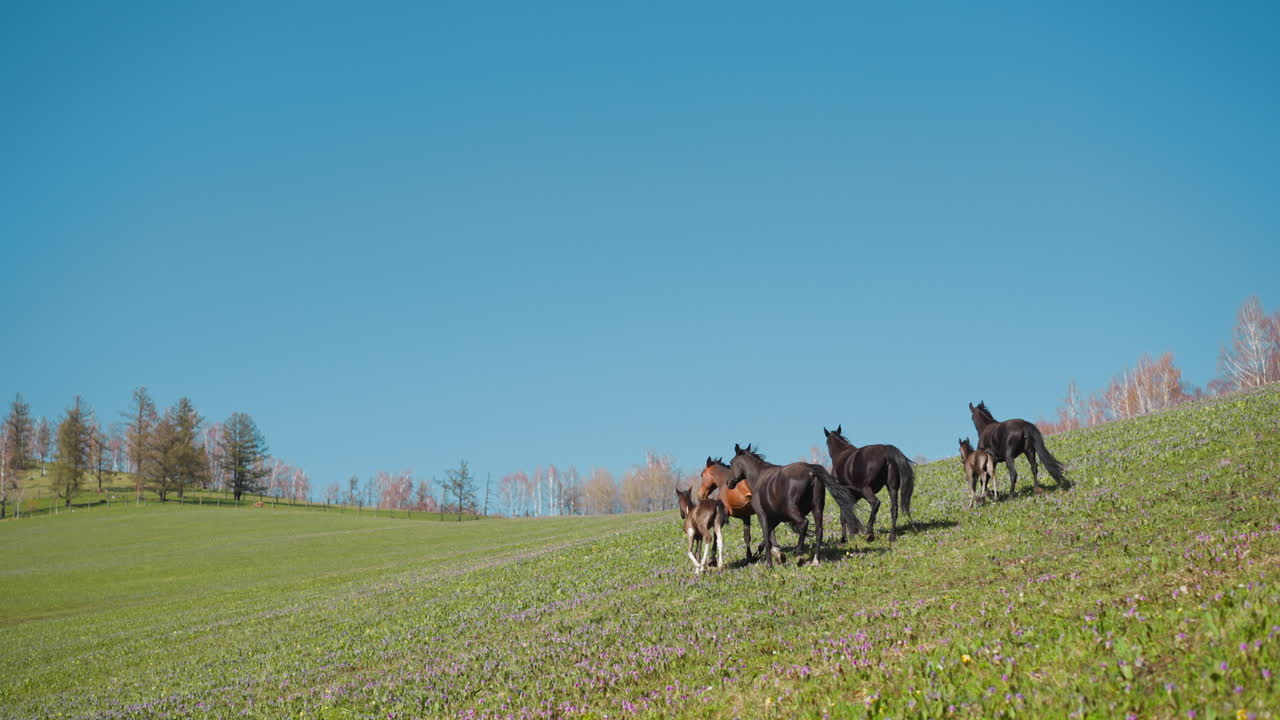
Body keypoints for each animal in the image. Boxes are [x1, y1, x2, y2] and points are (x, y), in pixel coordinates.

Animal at [726, 443, 861, 567]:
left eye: (731, 463)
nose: (728, 483)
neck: (759, 478)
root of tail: (810, 470)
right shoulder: (776, 518)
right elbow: (768, 536)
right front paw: (778, 555)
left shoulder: (762, 515)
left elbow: (766, 536)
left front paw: (769, 563)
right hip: (817, 508)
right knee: (819, 531)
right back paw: (815, 560)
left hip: (792, 510)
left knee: (803, 523)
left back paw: (799, 554)